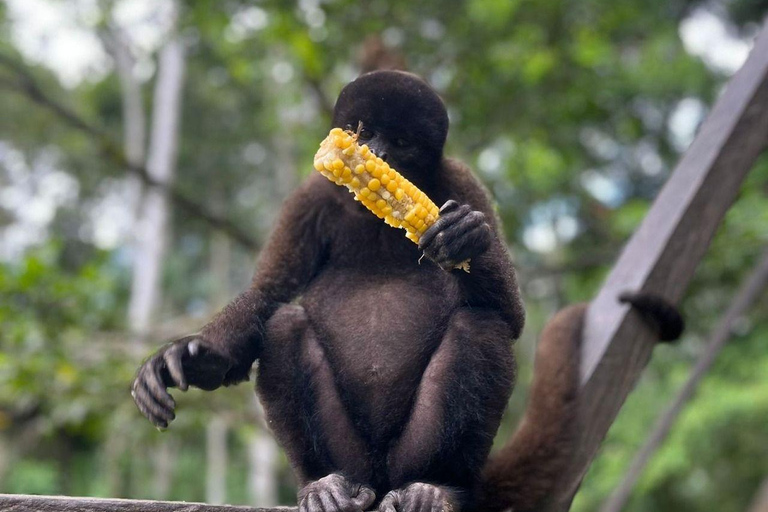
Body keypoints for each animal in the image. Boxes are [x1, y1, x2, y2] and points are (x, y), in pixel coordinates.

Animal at [132, 70, 683, 512]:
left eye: (399, 139)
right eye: (365, 131)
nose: (374, 153)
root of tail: (378, 477)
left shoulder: (461, 181)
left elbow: (511, 316)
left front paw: (465, 237)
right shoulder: (309, 198)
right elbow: (268, 295)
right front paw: (193, 358)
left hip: (415, 453)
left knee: (480, 325)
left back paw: (438, 489)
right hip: (351, 455)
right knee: (285, 325)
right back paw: (323, 486)